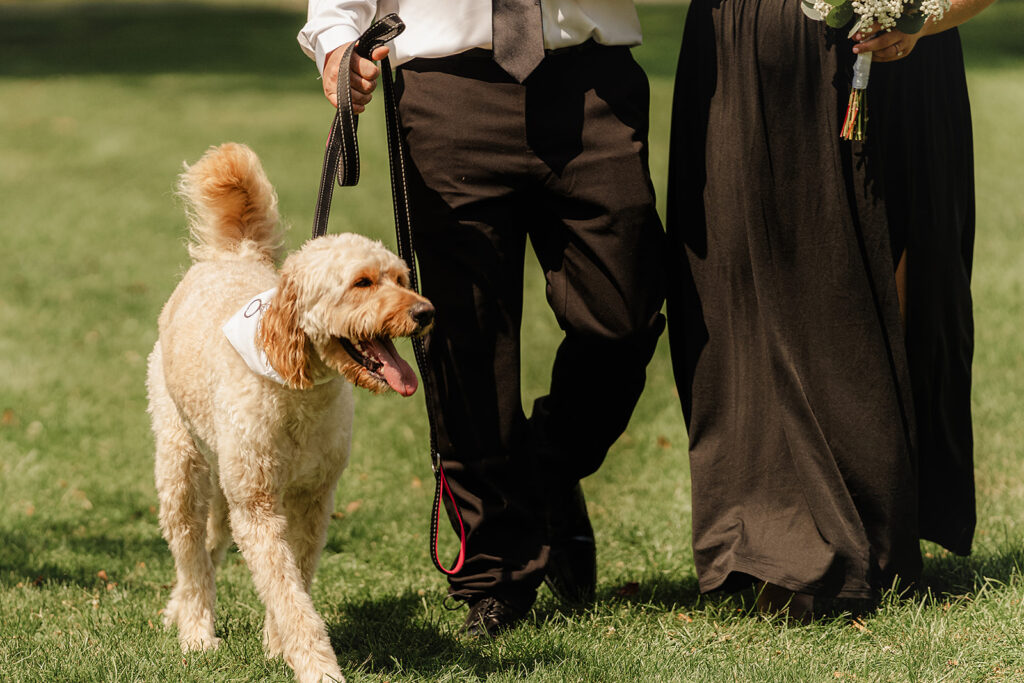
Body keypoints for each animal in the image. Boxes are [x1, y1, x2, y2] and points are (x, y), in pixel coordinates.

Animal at [146, 141, 430, 679]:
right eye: (362, 283)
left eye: (401, 277)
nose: (425, 312)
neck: (301, 394)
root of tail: (233, 254)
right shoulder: (259, 507)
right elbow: (288, 593)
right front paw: (318, 666)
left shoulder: (313, 498)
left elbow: (295, 577)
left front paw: (278, 647)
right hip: (182, 465)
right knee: (190, 555)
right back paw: (196, 632)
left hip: (224, 481)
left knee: (210, 545)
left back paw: (178, 611)